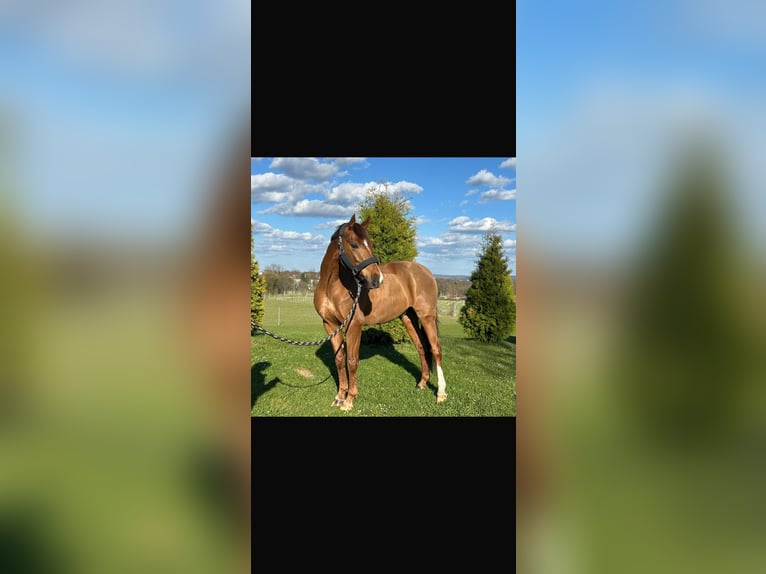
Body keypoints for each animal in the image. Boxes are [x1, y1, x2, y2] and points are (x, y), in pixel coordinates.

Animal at [313, 213, 447, 411]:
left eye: (370, 243)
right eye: (354, 244)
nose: (377, 279)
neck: (332, 286)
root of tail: (426, 272)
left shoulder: (354, 326)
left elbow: (351, 361)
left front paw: (349, 400)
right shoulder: (330, 325)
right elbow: (339, 359)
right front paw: (339, 397)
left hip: (426, 316)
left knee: (436, 349)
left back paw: (441, 393)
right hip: (408, 317)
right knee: (421, 347)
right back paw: (422, 384)